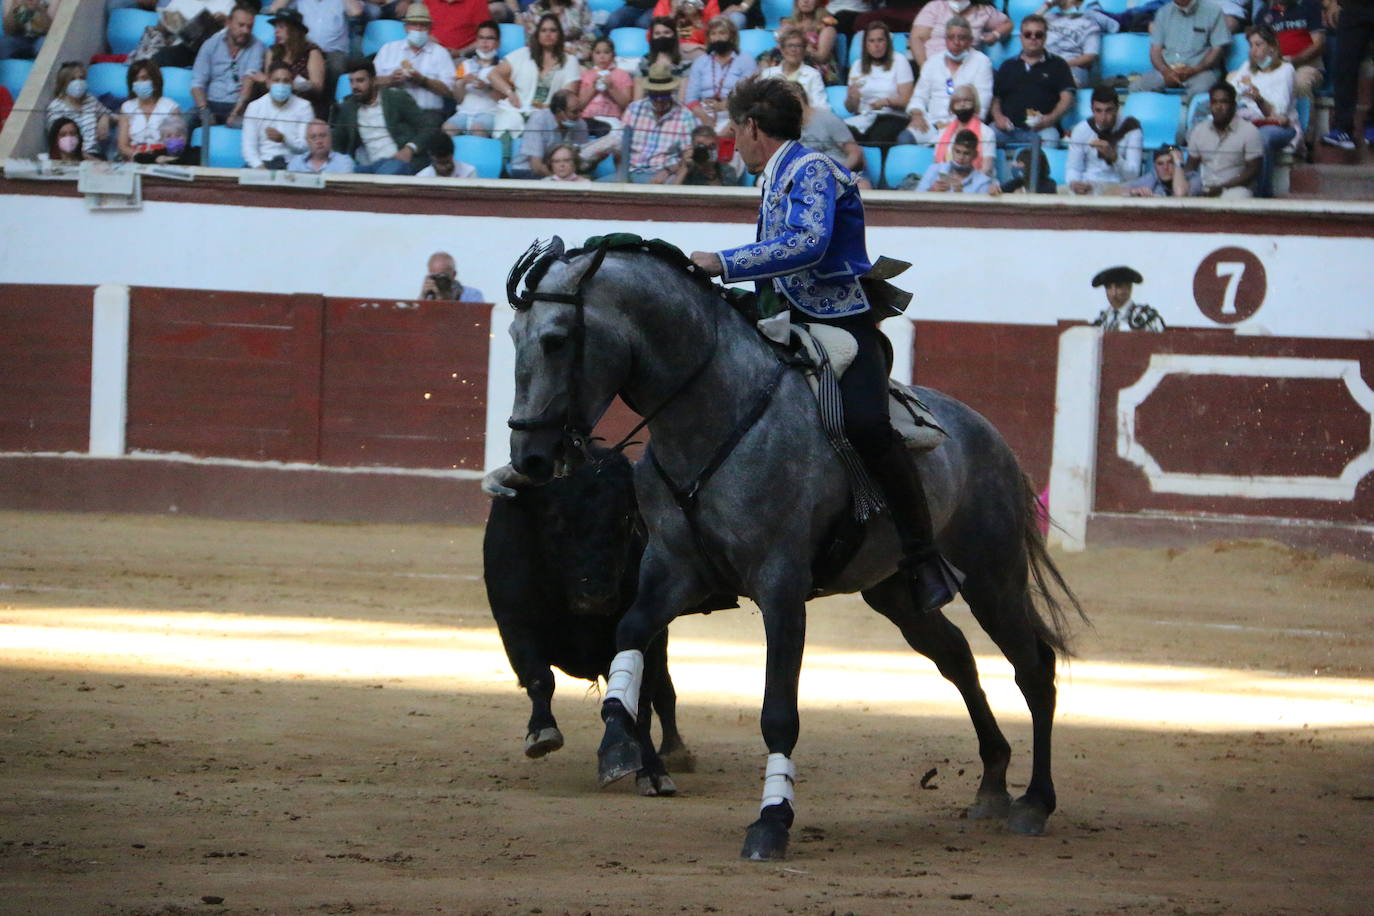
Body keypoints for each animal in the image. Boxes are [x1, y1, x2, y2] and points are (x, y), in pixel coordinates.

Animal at [486, 447, 697, 791]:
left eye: (626, 517)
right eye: (555, 518)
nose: (596, 596)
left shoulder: (646, 632)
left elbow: (640, 703)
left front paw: (651, 771)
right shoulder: (515, 623)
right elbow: (539, 677)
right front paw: (542, 732)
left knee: (664, 693)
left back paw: (675, 752)